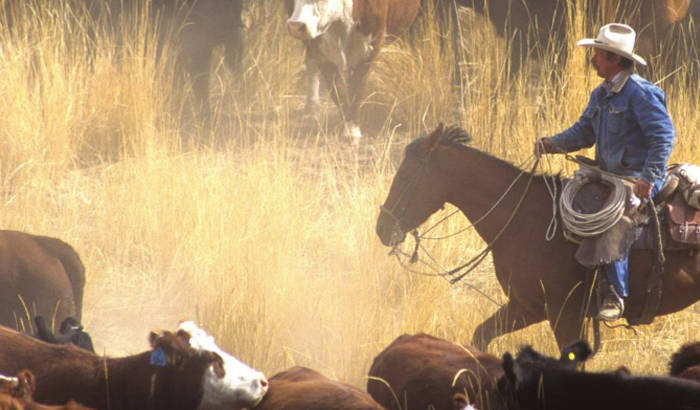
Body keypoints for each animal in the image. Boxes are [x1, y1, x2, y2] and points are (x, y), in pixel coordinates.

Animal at [285, 0, 421, 140]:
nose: (295, 26)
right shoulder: (321, 52)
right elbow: (337, 91)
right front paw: (350, 128)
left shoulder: (369, 51)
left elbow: (357, 87)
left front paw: (353, 130)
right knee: (312, 66)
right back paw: (311, 110)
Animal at [376, 124, 700, 350]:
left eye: (408, 175)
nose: (382, 228)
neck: (525, 220)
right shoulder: (527, 306)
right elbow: (481, 335)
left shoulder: (563, 314)